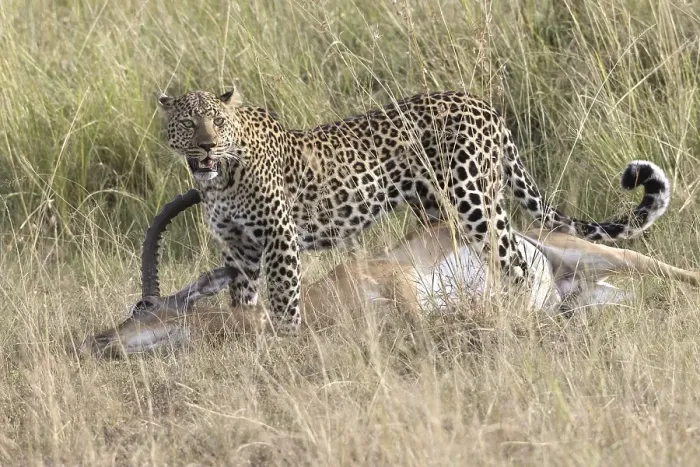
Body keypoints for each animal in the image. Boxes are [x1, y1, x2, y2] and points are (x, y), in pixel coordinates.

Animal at [156, 88, 669, 335]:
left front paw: (286, 343)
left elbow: (285, 302)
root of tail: (486, 107)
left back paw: (516, 319)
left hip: (474, 201)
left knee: (518, 267)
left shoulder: (280, 239)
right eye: (188, 122)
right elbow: (242, 302)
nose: (206, 144)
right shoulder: (238, 250)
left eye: (217, 121)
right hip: (435, 207)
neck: (219, 178)